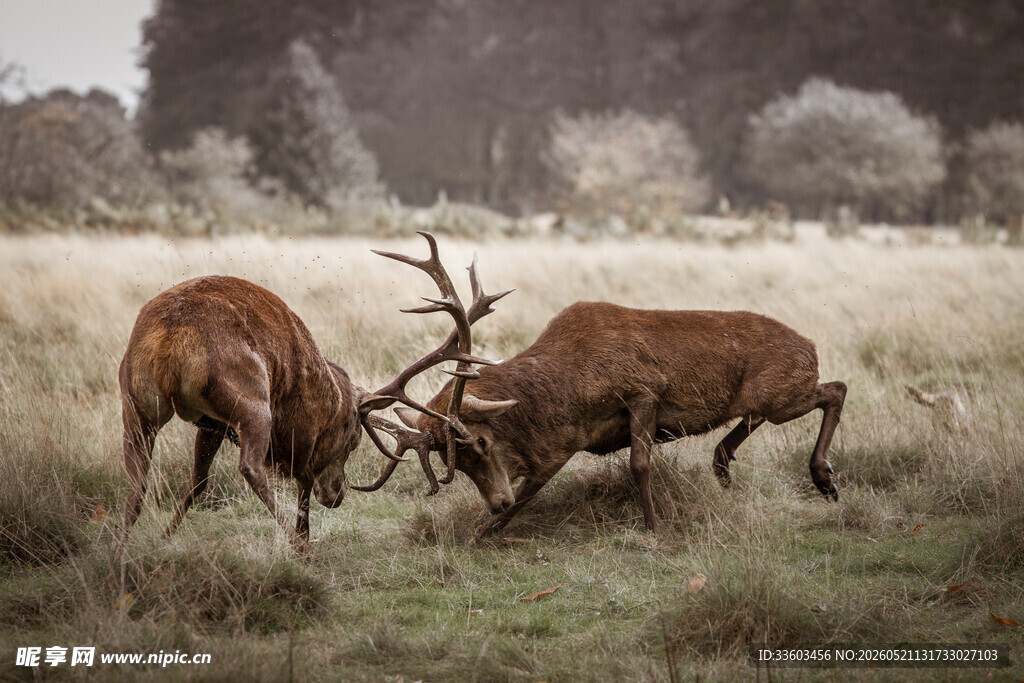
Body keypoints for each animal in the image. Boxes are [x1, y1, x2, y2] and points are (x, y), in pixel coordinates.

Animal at [117, 232, 510, 551]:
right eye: (353, 441)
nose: (337, 494)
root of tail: (171, 340)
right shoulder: (302, 430)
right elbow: (303, 485)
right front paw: (304, 539)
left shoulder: (210, 423)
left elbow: (198, 480)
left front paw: (165, 537)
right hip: (251, 400)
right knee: (251, 468)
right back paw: (298, 546)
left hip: (134, 400)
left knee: (137, 481)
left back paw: (121, 549)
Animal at [369, 301, 847, 538]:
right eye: (458, 463)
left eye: (481, 442)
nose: (495, 502)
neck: (563, 400)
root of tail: (810, 346)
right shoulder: (560, 448)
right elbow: (527, 495)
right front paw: (482, 531)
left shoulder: (644, 391)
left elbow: (639, 464)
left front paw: (654, 529)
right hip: (766, 399)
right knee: (753, 419)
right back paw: (725, 466)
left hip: (782, 393)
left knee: (836, 388)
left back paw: (823, 478)